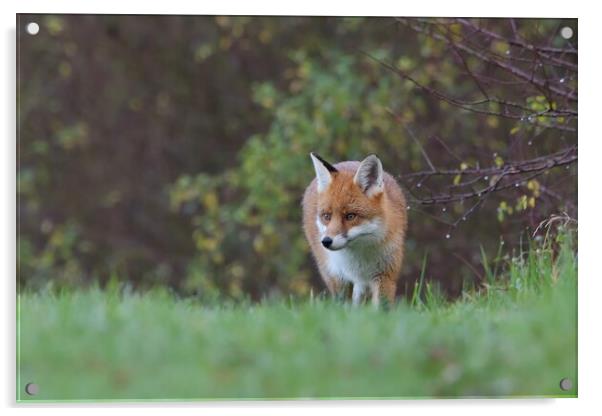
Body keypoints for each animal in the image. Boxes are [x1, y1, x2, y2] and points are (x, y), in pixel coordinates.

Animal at [300, 153, 408, 306]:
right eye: (326, 216)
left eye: (350, 216)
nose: (326, 241)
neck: (359, 257)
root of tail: (345, 162)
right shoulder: (339, 277)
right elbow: (343, 306)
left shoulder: (385, 274)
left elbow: (382, 306)